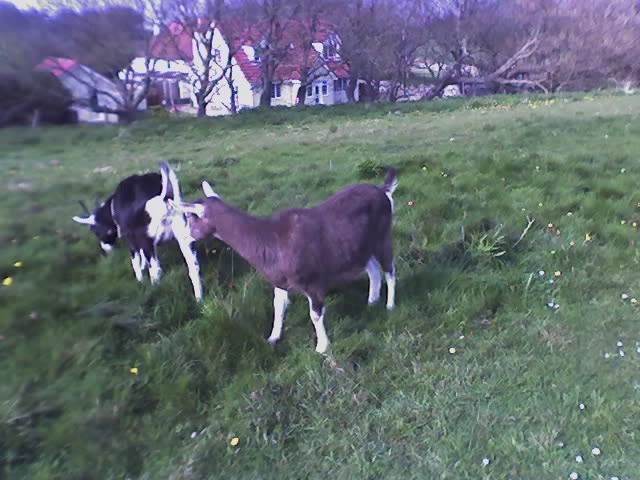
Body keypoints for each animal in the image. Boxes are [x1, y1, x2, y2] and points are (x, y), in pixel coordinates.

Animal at [72, 164, 203, 301]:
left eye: (96, 231)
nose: (106, 249)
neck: (113, 208)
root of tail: (164, 197)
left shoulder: (132, 238)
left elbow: (135, 260)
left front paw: (140, 280)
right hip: (184, 237)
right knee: (194, 267)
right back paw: (199, 300)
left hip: (147, 240)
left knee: (156, 270)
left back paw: (155, 291)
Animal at [165, 164, 397, 353]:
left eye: (191, 217)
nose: (181, 237)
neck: (269, 239)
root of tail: (384, 192)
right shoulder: (279, 280)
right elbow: (278, 306)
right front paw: (273, 337)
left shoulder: (313, 281)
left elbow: (315, 314)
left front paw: (322, 347)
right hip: (360, 246)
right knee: (373, 270)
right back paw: (372, 301)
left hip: (383, 236)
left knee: (390, 270)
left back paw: (389, 306)